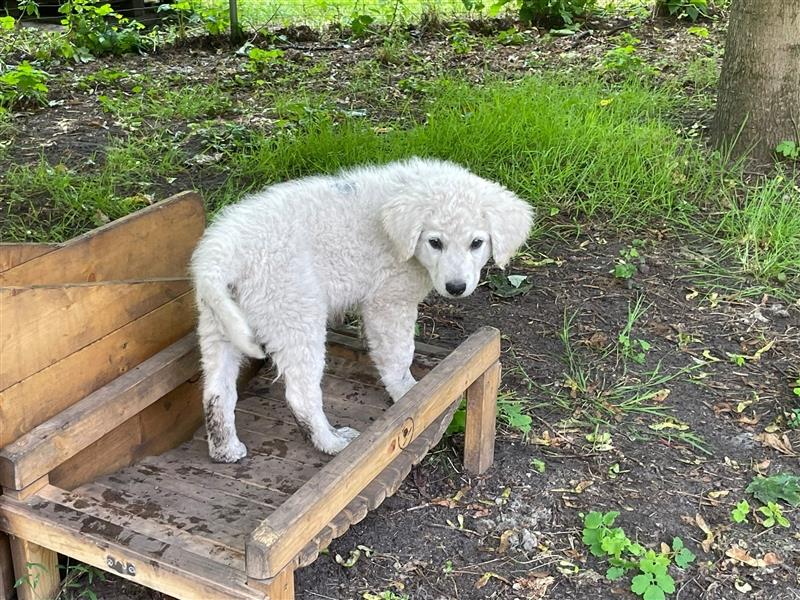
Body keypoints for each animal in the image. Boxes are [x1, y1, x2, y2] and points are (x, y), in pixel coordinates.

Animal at [191, 157, 536, 462]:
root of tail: (220, 257)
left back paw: (225, 449)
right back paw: (331, 442)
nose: (455, 287)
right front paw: (411, 394)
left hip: (219, 323)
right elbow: (398, 356)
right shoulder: (389, 301)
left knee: (217, 391)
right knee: (301, 395)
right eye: (435, 242)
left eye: (477, 243)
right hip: (295, 314)